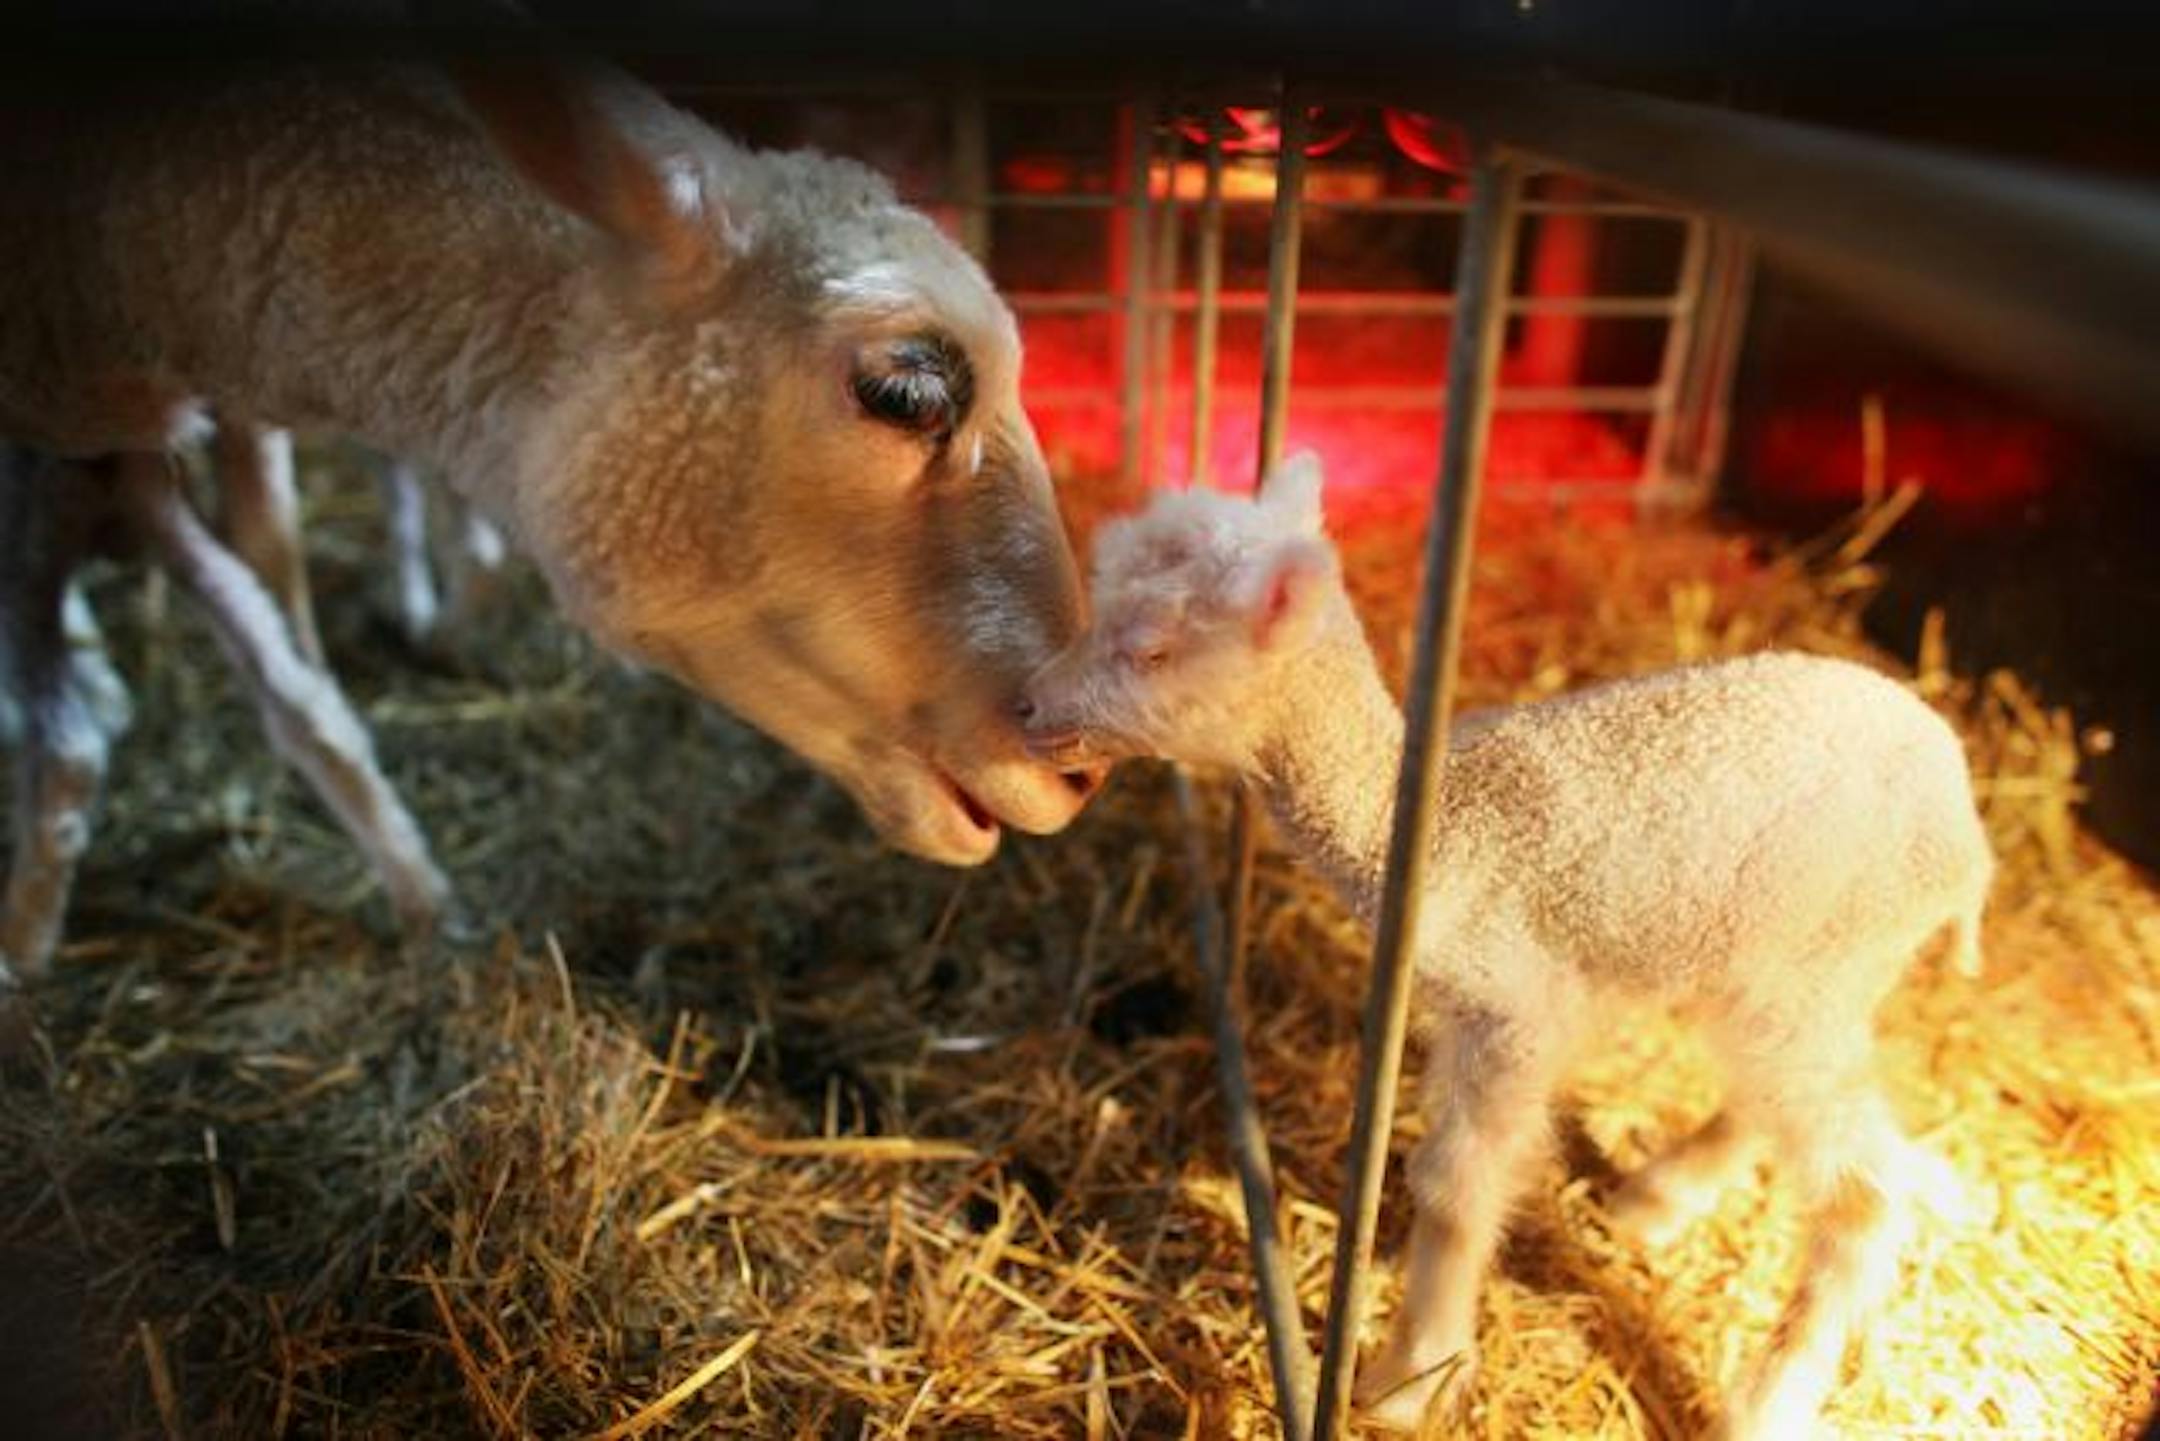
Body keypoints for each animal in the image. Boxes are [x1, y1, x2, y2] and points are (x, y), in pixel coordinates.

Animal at [1020, 453, 1992, 1439]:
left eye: (1150, 649)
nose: (1028, 706)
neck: (1436, 824)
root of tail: (1965, 822)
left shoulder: (1516, 1010)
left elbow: (1456, 1184)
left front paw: (1411, 1376)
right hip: (1789, 970)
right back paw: (1661, 1197)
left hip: (1817, 960)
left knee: (1863, 1189)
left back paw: (1767, 1399)